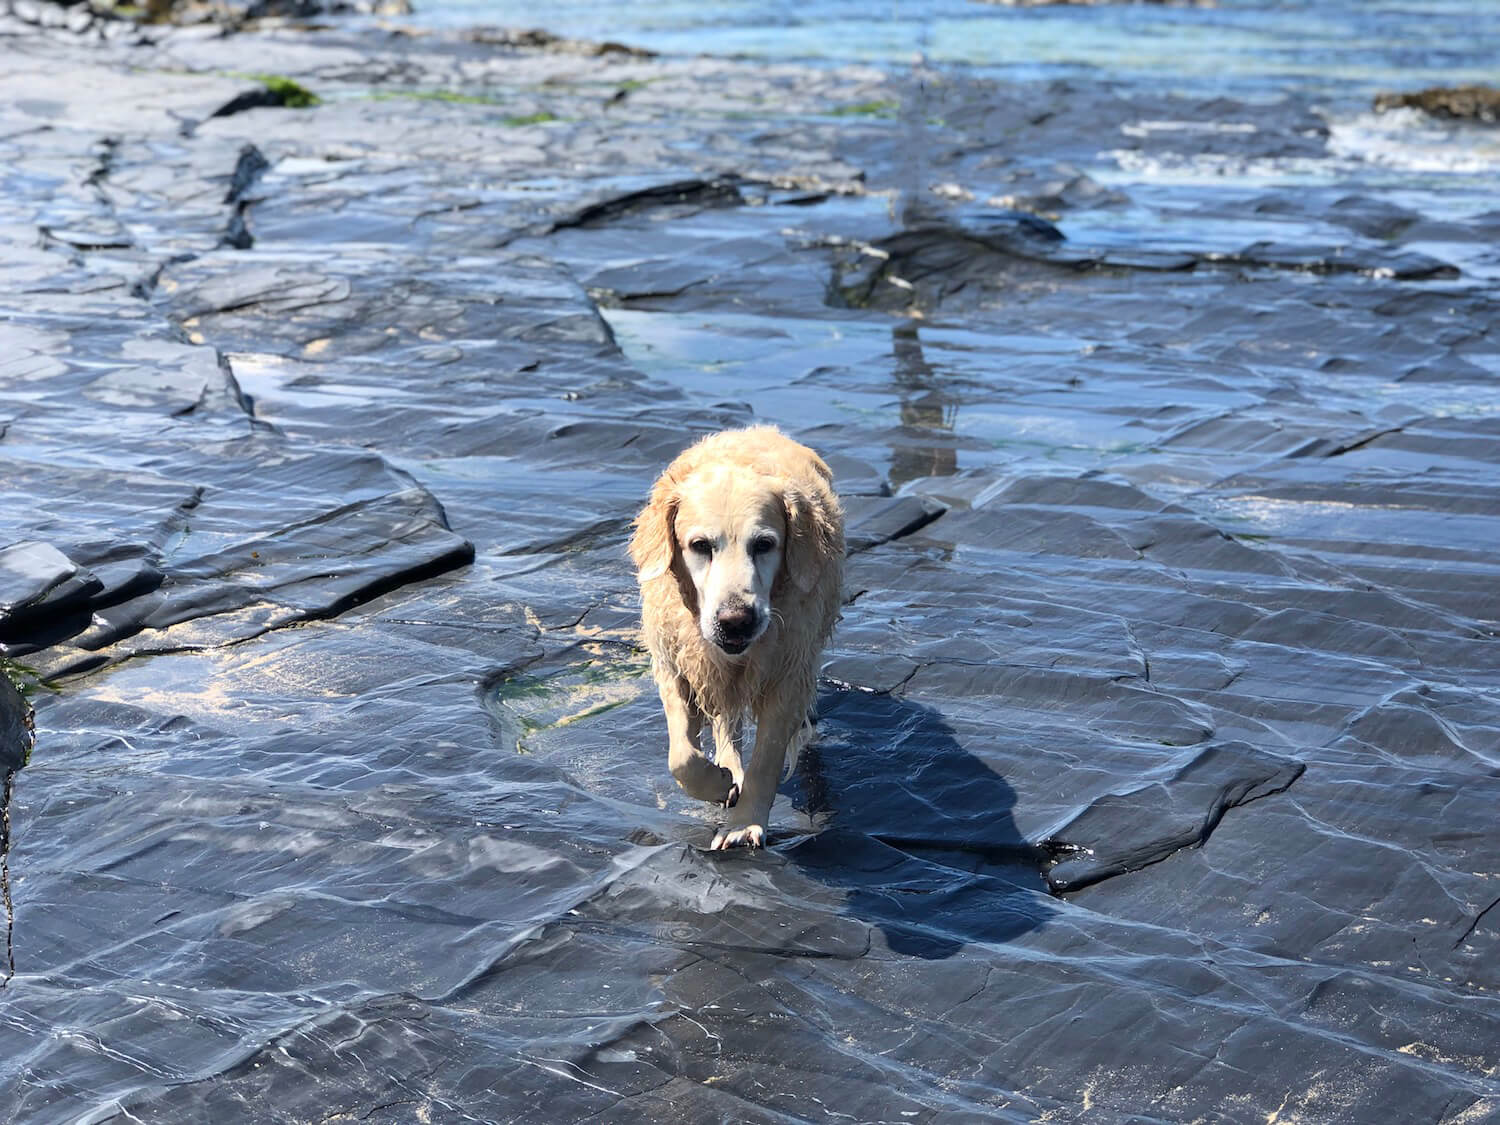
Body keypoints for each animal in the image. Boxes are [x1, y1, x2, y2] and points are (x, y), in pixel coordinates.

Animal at [630, 426, 846, 852]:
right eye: (700, 546)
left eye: (764, 544)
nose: (736, 622)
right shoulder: (678, 663)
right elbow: (681, 757)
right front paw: (718, 782)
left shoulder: (787, 673)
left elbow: (766, 760)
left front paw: (744, 824)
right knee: (724, 724)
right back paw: (729, 769)